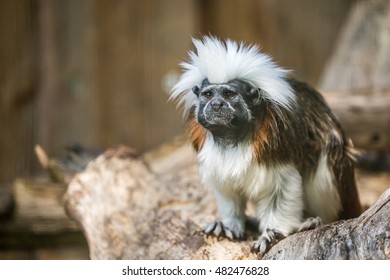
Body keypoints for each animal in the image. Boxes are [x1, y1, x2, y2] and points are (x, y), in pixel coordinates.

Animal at [171, 36, 362, 255]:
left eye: (229, 95)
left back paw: (313, 221)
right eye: (208, 94)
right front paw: (229, 225)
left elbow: (282, 190)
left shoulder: (278, 141)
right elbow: (227, 190)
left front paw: (273, 234)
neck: (233, 138)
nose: (216, 105)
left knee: (327, 154)